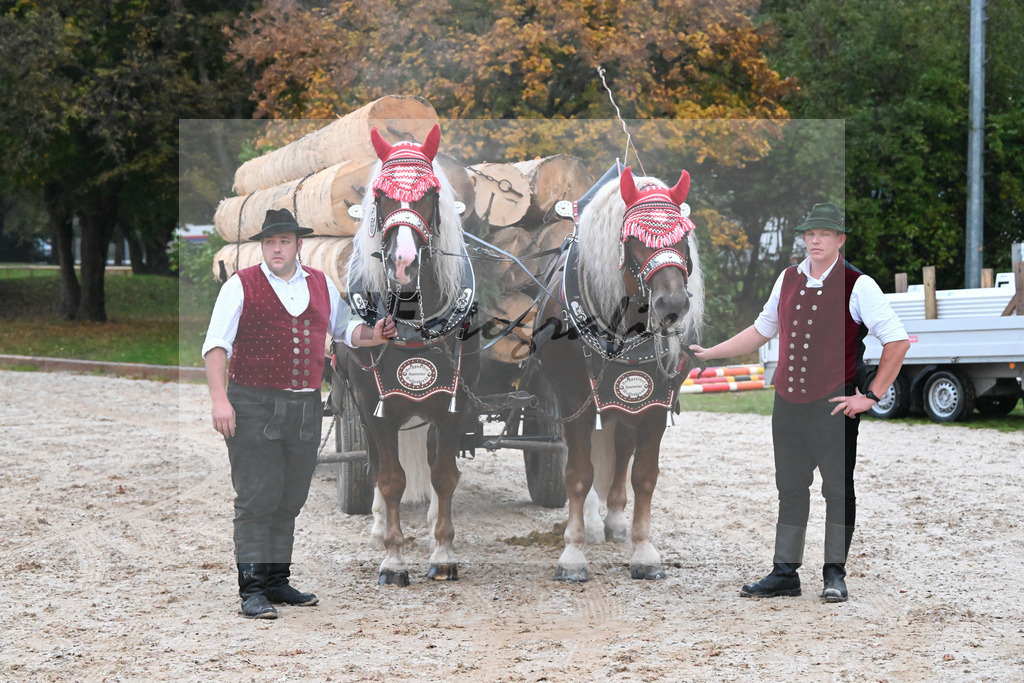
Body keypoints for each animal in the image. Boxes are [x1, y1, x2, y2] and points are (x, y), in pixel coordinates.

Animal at [339, 125, 475, 585]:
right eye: (380, 195)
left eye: (430, 194)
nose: (403, 263)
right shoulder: (374, 405)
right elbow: (390, 479)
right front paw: (393, 559)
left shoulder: (453, 404)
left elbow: (444, 475)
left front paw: (444, 552)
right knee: (376, 464)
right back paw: (380, 525)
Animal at [528, 165, 704, 581]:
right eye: (635, 240)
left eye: (683, 237)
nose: (672, 304)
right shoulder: (574, 400)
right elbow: (578, 474)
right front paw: (573, 554)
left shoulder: (656, 402)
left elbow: (644, 474)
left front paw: (644, 551)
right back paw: (593, 524)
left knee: (622, 447)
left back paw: (615, 520)